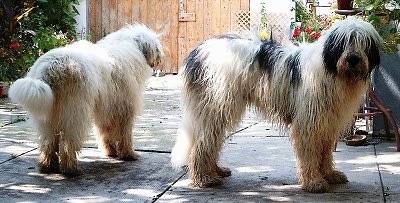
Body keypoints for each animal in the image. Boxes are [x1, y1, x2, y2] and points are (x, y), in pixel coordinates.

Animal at [8, 23, 164, 176]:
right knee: (68, 143)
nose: (160, 58)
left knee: (49, 142)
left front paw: (110, 152)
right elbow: (125, 135)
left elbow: (105, 132)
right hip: (75, 113)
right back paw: (71, 169)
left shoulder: (106, 110)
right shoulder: (125, 109)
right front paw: (128, 154)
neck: (130, 43)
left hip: (47, 116)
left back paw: (48, 166)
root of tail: (52, 67)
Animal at [170, 17, 382, 192]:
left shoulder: (328, 122)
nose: (353, 59)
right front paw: (314, 181)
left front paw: (329, 174)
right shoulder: (309, 122)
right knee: (203, 143)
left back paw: (216, 170)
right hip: (217, 104)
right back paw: (204, 178)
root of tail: (198, 51)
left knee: (211, 140)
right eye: (344, 42)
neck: (333, 71)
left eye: (363, 43)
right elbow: (310, 154)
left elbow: (325, 153)